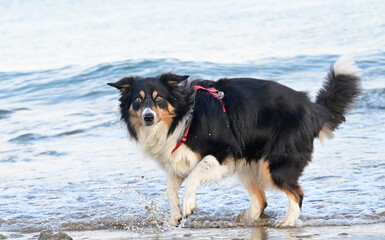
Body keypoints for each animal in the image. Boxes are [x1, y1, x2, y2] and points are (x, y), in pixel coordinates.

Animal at [107, 56, 360, 227]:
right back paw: (246, 220)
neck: (183, 116)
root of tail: (314, 109)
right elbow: (170, 189)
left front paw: (188, 205)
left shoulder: (222, 152)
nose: (148, 117)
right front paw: (175, 214)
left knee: (296, 194)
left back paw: (287, 222)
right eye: (138, 101)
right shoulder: (177, 160)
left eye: (158, 98)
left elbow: (195, 175)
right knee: (261, 201)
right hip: (248, 163)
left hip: (273, 164)